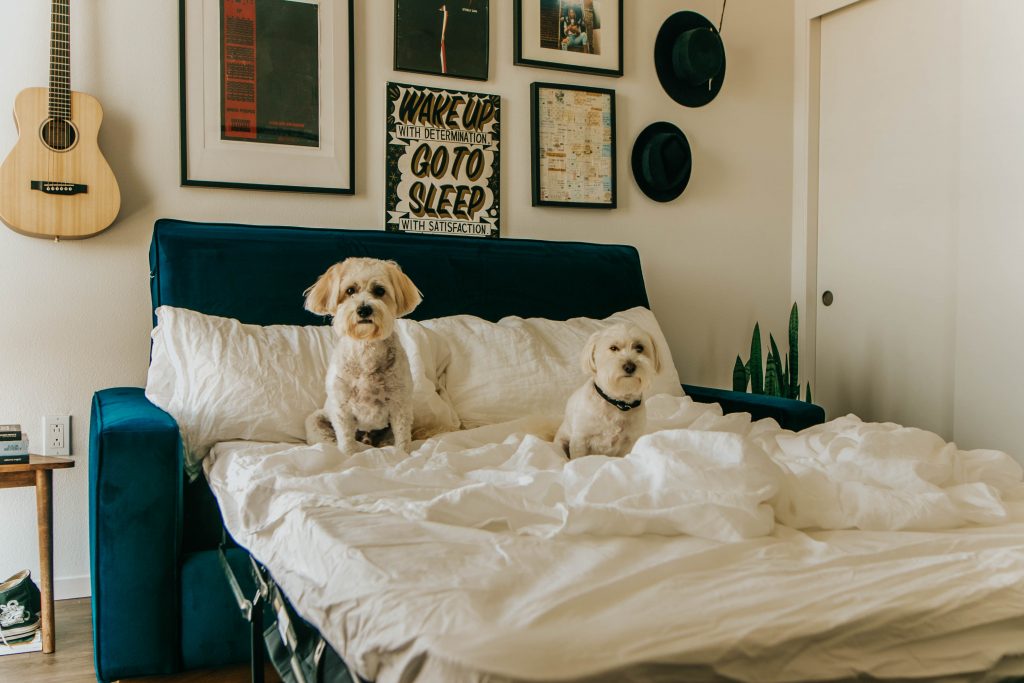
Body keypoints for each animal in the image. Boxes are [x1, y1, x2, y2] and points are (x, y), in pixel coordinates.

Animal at [301, 255, 421, 454]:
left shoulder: (400, 404)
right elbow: (346, 440)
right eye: (350, 290)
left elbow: (402, 438)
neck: (366, 347)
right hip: (315, 421)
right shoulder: (342, 408)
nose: (364, 309)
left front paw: (402, 454)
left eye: (379, 291)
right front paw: (349, 455)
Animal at [557, 325, 659, 458]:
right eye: (613, 348)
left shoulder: (629, 442)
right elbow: (579, 457)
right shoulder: (580, 439)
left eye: (639, 348)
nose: (630, 366)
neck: (617, 403)